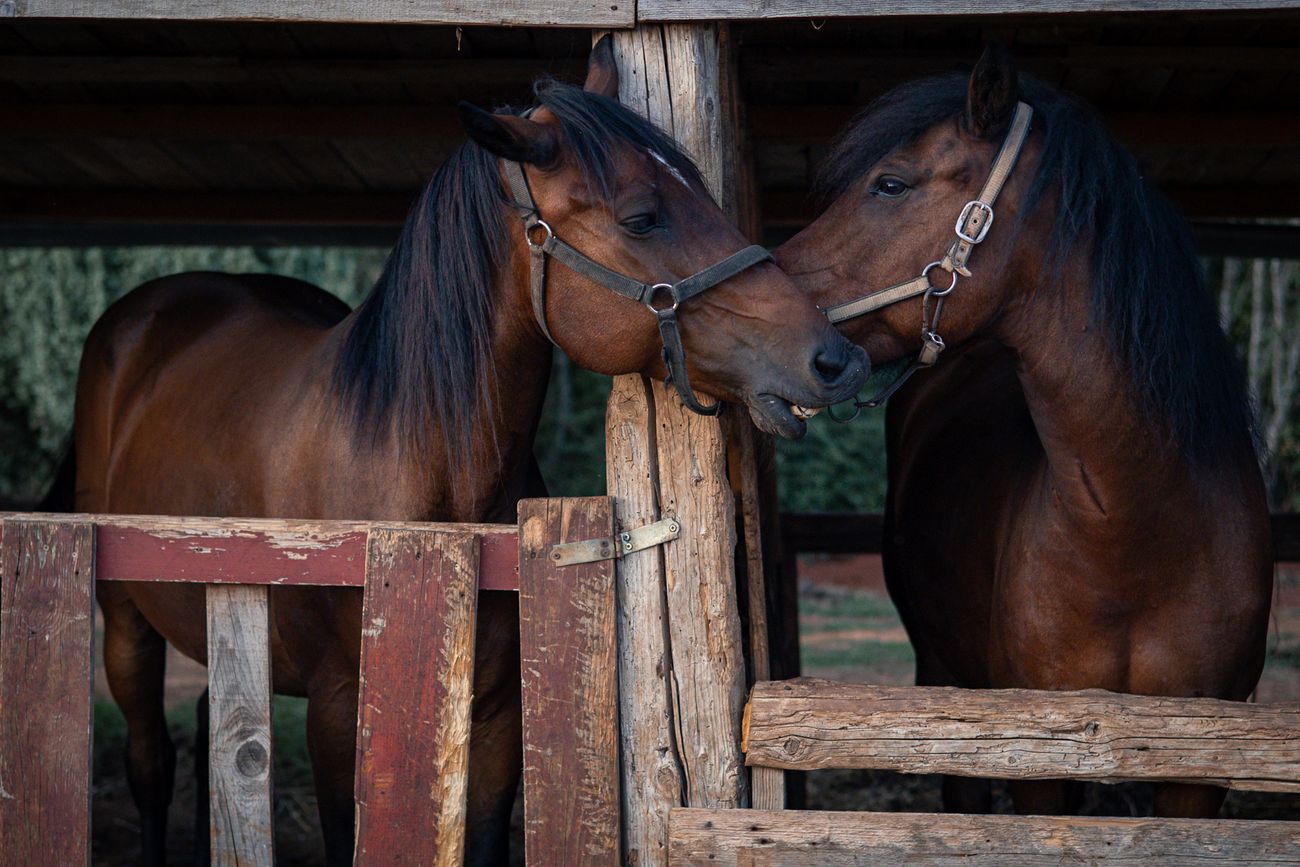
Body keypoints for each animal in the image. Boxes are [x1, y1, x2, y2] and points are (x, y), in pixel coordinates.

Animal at [74, 39, 866, 866]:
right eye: (642, 218)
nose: (835, 357)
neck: (421, 472)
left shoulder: (495, 716)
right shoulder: (336, 709)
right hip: (126, 622)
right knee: (150, 759)